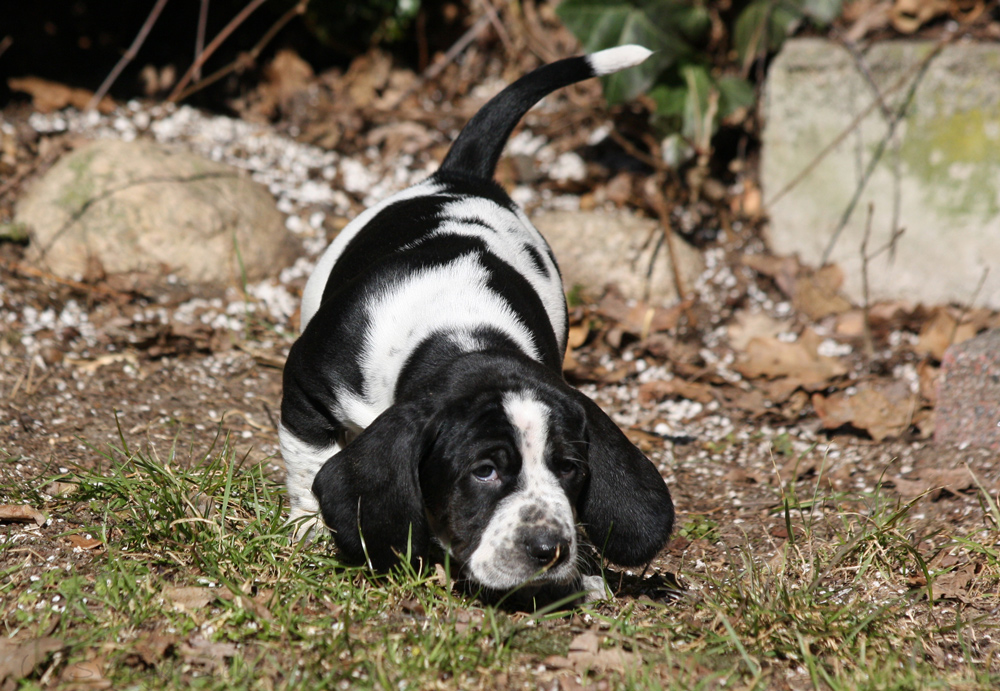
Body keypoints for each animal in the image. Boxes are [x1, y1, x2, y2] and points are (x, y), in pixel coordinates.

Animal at [278, 46, 676, 596]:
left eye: (569, 468)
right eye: (484, 471)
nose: (551, 550)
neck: (459, 331)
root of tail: (461, 178)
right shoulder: (307, 385)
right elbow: (307, 460)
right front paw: (311, 527)